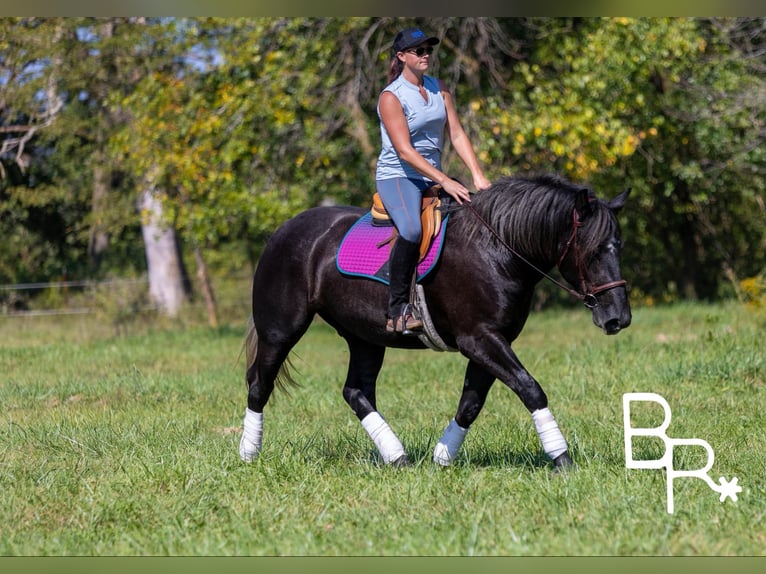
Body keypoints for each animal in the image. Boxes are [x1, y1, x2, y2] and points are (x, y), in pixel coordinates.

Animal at [239, 174, 631, 469]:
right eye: (592, 251)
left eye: (619, 245)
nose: (619, 318)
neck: (496, 249)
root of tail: (283, 230)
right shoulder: (479, 339)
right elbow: (530, 388)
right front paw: (561, 457)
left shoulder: (491, 341)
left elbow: (471, 404)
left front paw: (442, 458)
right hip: (281, 330)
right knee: (260, 383)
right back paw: (248, 453)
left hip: (365, 337)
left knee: (356, 391)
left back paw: (396, 456)